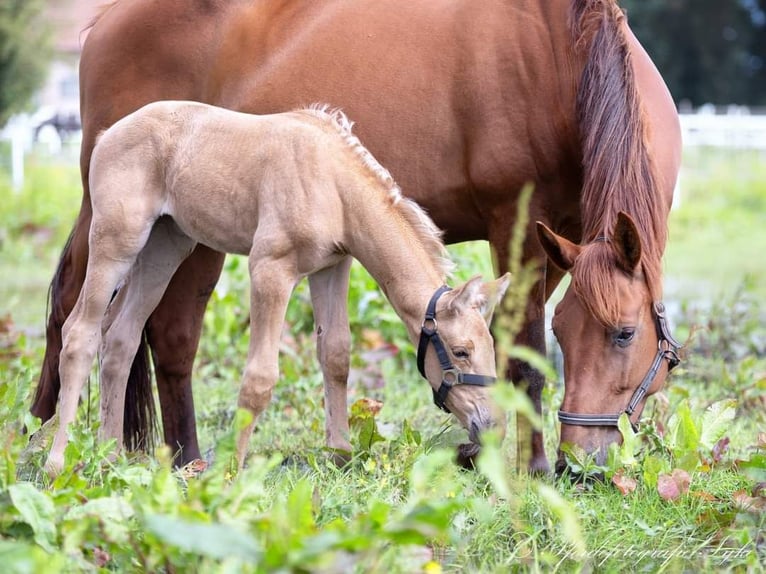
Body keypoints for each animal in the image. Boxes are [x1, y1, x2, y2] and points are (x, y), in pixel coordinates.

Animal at [43, 100, 510, 476]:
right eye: (462, 352)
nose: (492, 426)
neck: (333, 183)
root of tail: (107, 135)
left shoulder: (332, 268)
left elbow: (336, 355)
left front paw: (340, 455)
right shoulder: (270, 269)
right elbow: (260, 377)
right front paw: (230, 471)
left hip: (165, 247)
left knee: (120, 339)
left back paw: (109, 456)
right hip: (116, 241)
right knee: (80, 334)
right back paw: (57, 462)